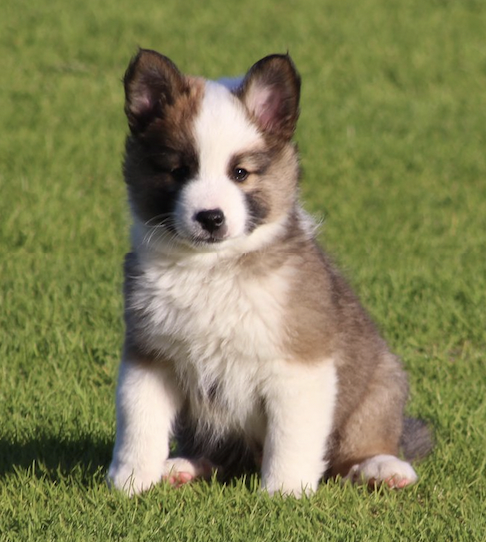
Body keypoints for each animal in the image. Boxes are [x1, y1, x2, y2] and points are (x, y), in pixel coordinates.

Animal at [108, 50, 430, 498]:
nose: (210, 218)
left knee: (356, 449)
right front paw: (132, 480)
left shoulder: (299, 365)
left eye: (240, 173)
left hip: (380, 386)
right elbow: (139, 421)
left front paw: (285, 494)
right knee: (222, 454)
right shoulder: (149, 356)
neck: (214, 268)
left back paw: (381, 468)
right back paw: (184, 465)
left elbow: (291, 437)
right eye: (179, 171)